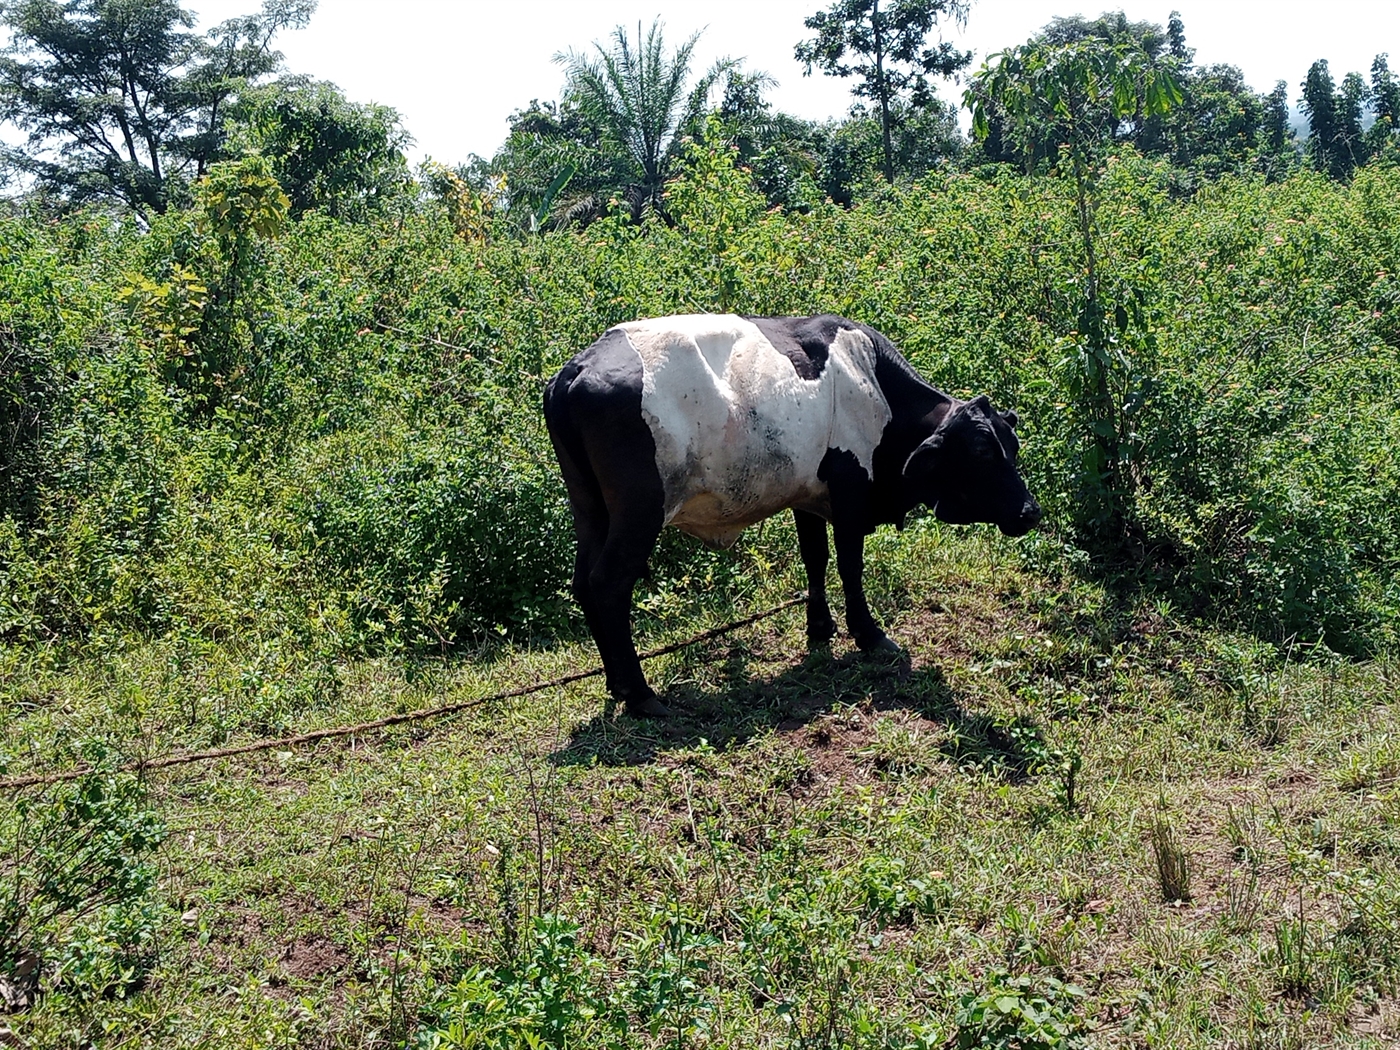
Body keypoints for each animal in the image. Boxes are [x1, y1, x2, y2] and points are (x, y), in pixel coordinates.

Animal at [543, 312, 1041, 722]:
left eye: (1012, 446)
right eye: (982, 452)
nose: (1030, 512)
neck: (876, 384)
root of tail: (576, 370)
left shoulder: (807, 494)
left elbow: (815, 558)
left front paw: (820, 628)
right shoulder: (850, 493)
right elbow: (850, 565)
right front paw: (869, 634)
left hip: (590, 509)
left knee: (583, 582)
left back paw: (616, 683)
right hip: (639, 512)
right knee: (608, 584)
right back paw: (640, 693)